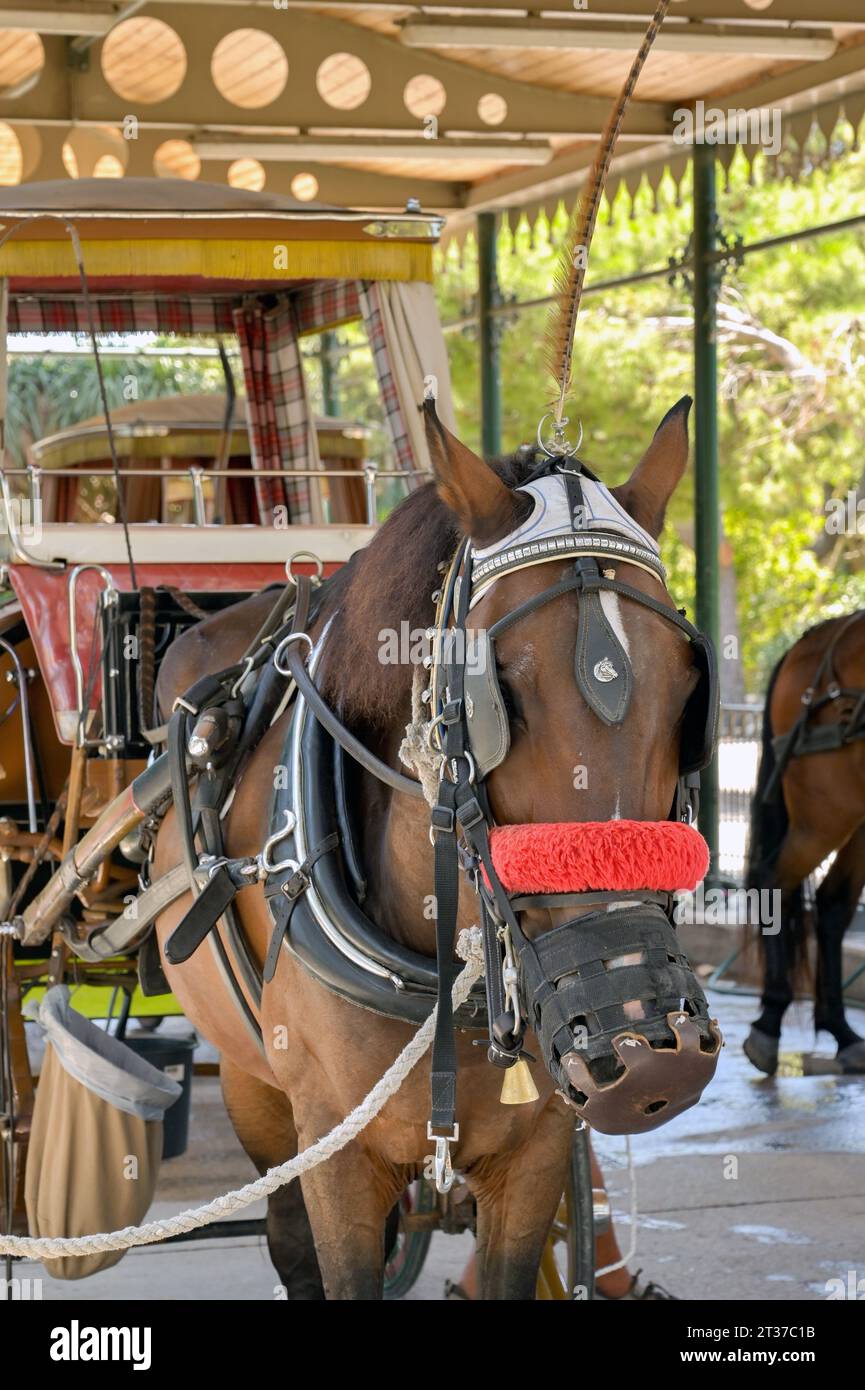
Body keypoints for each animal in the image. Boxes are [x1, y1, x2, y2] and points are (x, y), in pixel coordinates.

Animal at [154, 400, 717, 1289]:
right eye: (498, 693)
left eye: (689, 687)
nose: (653, 1051)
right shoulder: (332, 1152)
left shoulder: (537, 1148)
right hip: (254, 1085)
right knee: (287, 1237)